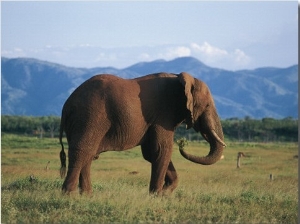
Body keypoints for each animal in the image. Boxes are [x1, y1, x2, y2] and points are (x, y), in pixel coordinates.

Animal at [59, 72, 226, 195]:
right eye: (208, 105)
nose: (182, 144)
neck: (180, 79)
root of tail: (66, 105)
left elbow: (151, 153)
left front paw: (165, 192)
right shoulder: (163, 115)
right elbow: (162, 150)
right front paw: (157, 195)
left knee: (89, 154)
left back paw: (87, 195)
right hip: (89, 118)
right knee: (82, 151)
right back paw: (69, 195)